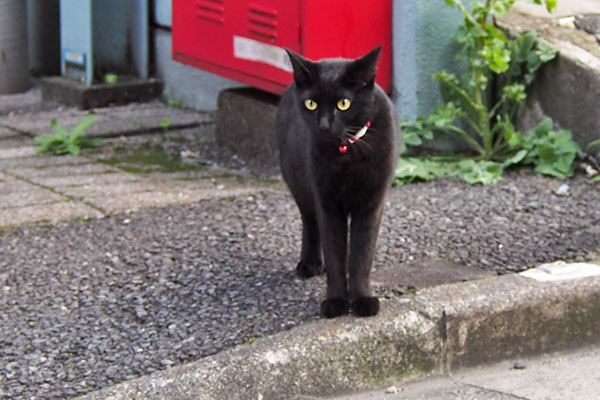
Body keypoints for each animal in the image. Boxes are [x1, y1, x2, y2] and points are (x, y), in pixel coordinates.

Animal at [276, 47, 398, 318]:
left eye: (344, 104)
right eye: (311, 104)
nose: (323, 126)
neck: (347, 153)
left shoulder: (371, 204)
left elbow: (362, 254)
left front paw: (362, 300)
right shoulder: (327, 203)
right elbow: (334, 255)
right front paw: (336, 301)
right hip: (298, 182)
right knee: (310, 222)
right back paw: (310, 263)